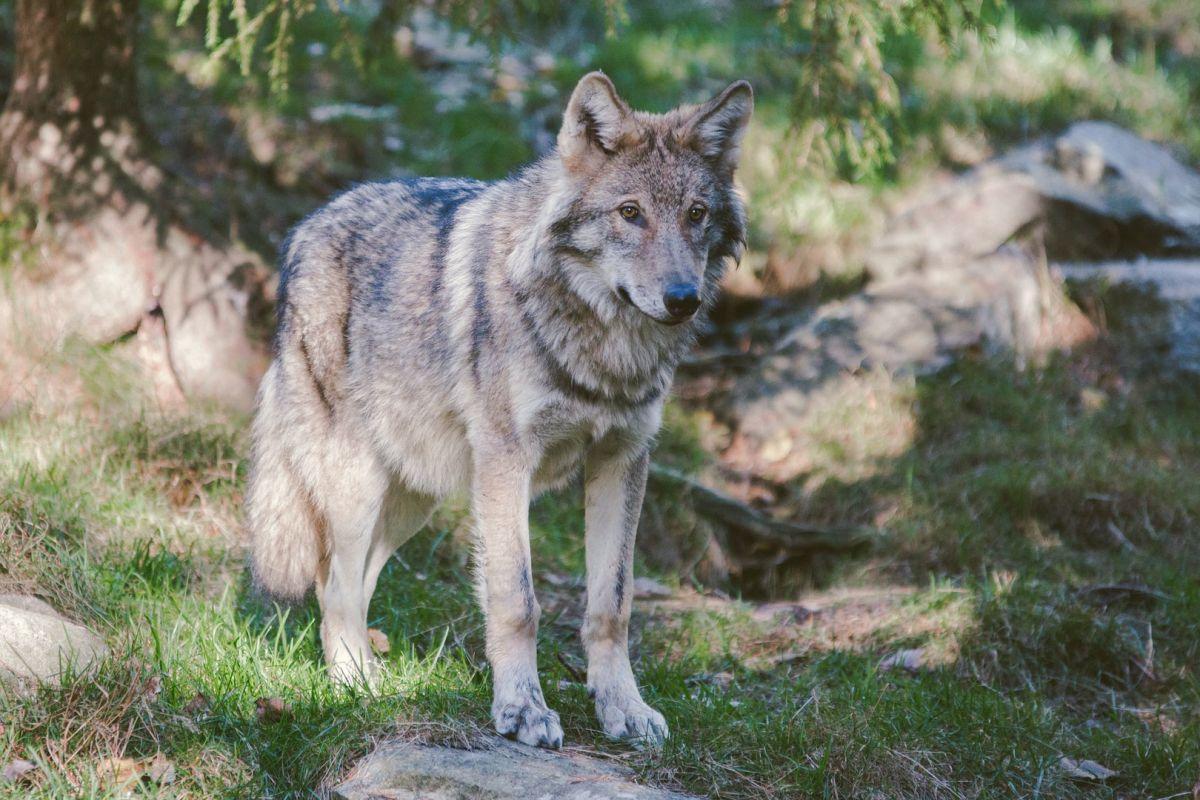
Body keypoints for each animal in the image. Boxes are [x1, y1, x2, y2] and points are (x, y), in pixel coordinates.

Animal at [243, 70, 748, 753]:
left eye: (696, 214)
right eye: (630, 213)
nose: (682, 299)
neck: (603, 348)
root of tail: (304, 229)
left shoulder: (623, 459)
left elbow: (611, 605)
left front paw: (623, 708)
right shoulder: (510, 464)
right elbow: (518, 601)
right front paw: (521, 710)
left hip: (414, 499)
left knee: (344, 584)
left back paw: (376, 677)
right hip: (358, 486)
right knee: (336, 588)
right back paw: (358, 688)